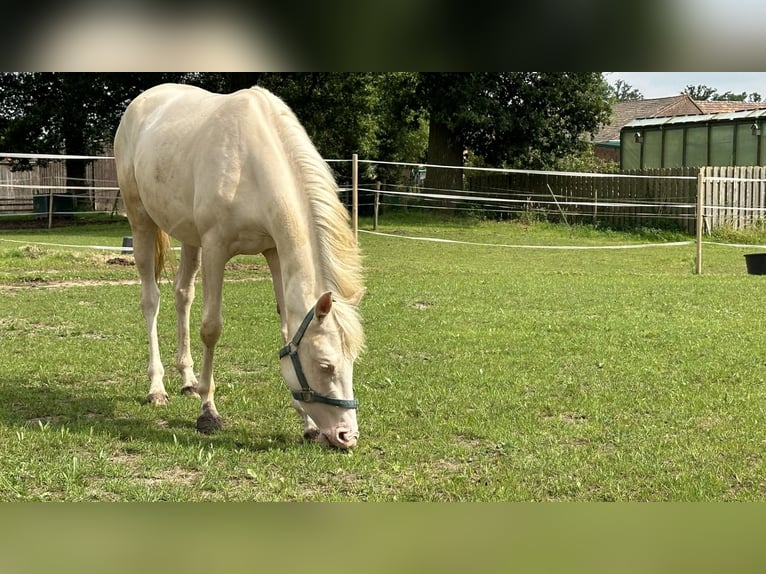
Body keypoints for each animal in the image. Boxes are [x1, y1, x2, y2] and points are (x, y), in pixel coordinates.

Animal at [114, 82, 366, 450]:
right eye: (325, 366)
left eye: (351, 363)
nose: (346, 436)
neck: (252, 165)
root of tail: (140, 103)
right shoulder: (216, 247)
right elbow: (211, 328)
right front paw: (208, 412)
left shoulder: (274, 251)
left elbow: (287, 329)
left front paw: (307, 424)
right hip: (141, 221)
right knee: (151, 300)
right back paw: (156, 388)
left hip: (189, 238)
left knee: (182, 294)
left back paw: (187, 381)